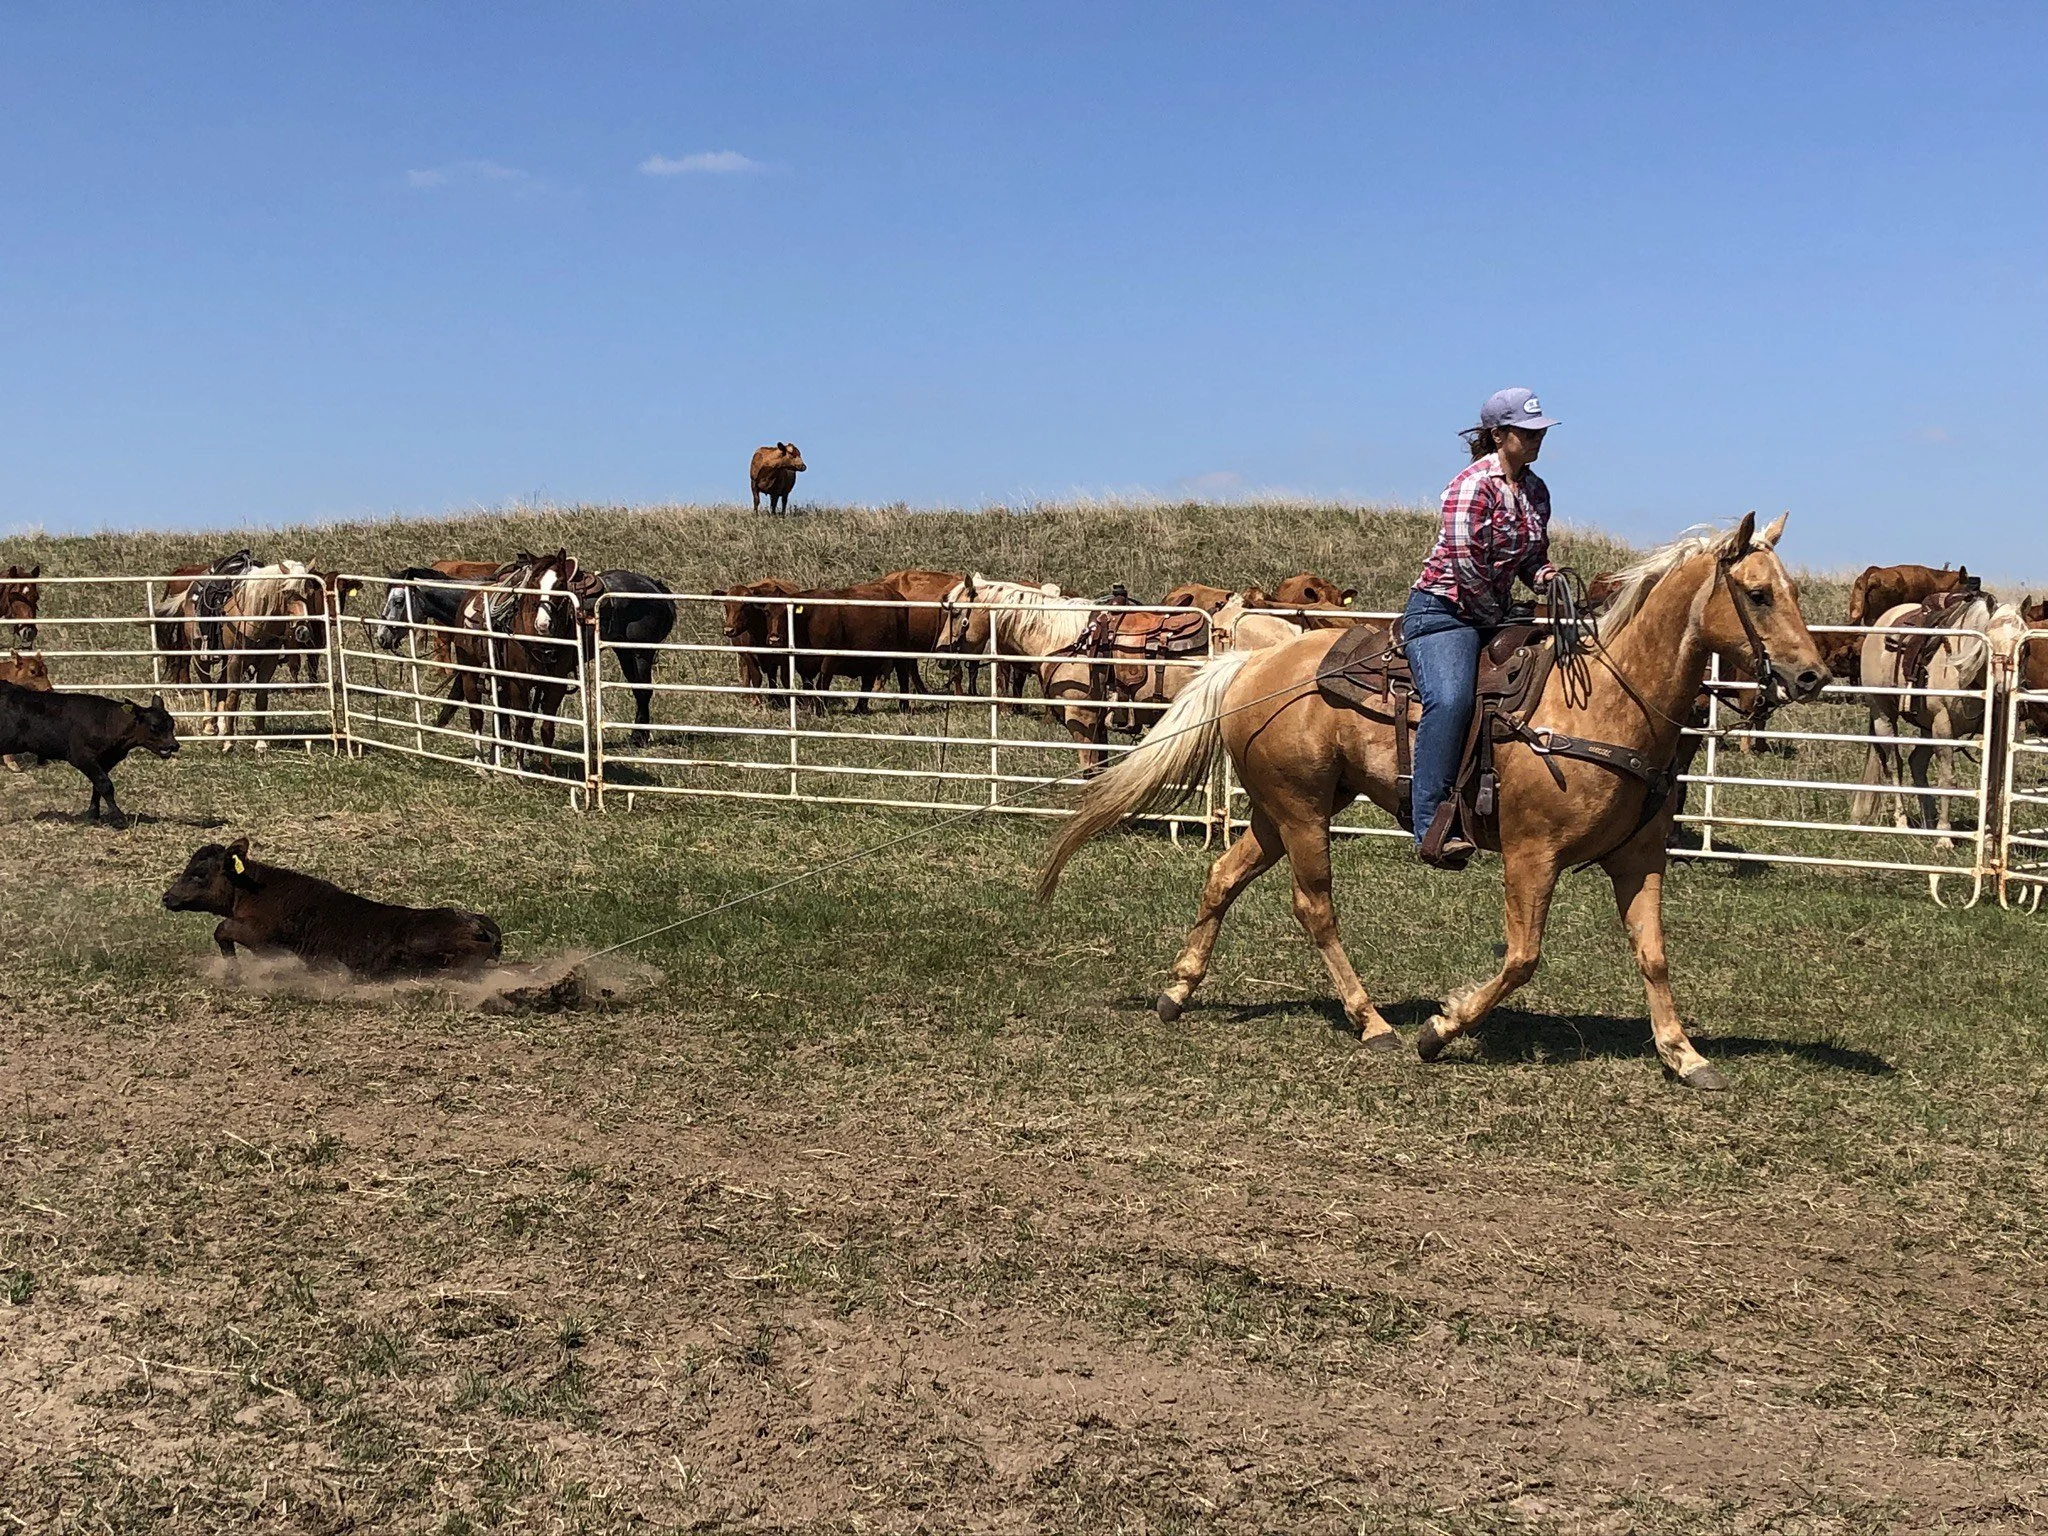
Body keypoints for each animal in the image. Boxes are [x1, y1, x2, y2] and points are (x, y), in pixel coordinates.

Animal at [0, 682, 179, 823]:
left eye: (172, 724)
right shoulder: (82, 757)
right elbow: (105, 784)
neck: (107, 721)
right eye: (154, 726)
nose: (173, 745)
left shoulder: (107, 760)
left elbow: (98, 786)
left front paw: (93, 814)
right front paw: (118, 818)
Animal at [162, 838, 502, 979]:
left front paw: (233, 970)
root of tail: (475, 921)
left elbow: (222, 929)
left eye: (198, 874)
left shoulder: (263, 937)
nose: (167, 897)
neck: (253, 889)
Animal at [1038, 513, 1829, 1092]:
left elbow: (1654, 955)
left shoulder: (1638, 858)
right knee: (1314, 906)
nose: (1812, 674)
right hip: (1301, 814)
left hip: (1276, 812)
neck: (1604, 701)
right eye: (1758, 594)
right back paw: (1374, 1022)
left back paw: (1178, 991)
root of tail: (1253, 660)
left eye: (1792, 590)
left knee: (1222, 877)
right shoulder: (1531, 856)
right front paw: (1440, 1030)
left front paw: (1684, 1054)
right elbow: (1522, 958)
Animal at [1851, 590, 2024, 848]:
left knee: (1916, 762)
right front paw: (1944, 837)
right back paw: (1902, 822)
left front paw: (1988, 837)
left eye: (2023, 644)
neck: (1964, 673)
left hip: (1927, 728)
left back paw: (1928, 821)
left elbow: (1994, 783)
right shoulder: (1944, 728)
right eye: (1990, 641)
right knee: (1894, 766)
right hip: (1884, 717)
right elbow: (1947, 779)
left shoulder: (1994, 733)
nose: (2004, 688)